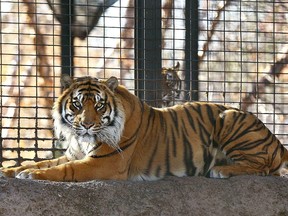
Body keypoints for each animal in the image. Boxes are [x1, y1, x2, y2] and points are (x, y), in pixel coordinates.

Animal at [0, 75, 288, 181]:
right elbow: (43, 162)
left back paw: (221, 169)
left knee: (264, 168)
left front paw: (30, 175)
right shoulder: (74, 153)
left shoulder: (104, 163)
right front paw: (12, 169)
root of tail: (277, 142)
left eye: (100, 106)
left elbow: (63, 170)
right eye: (78, 104)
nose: (87, 125)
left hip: (229, 117)